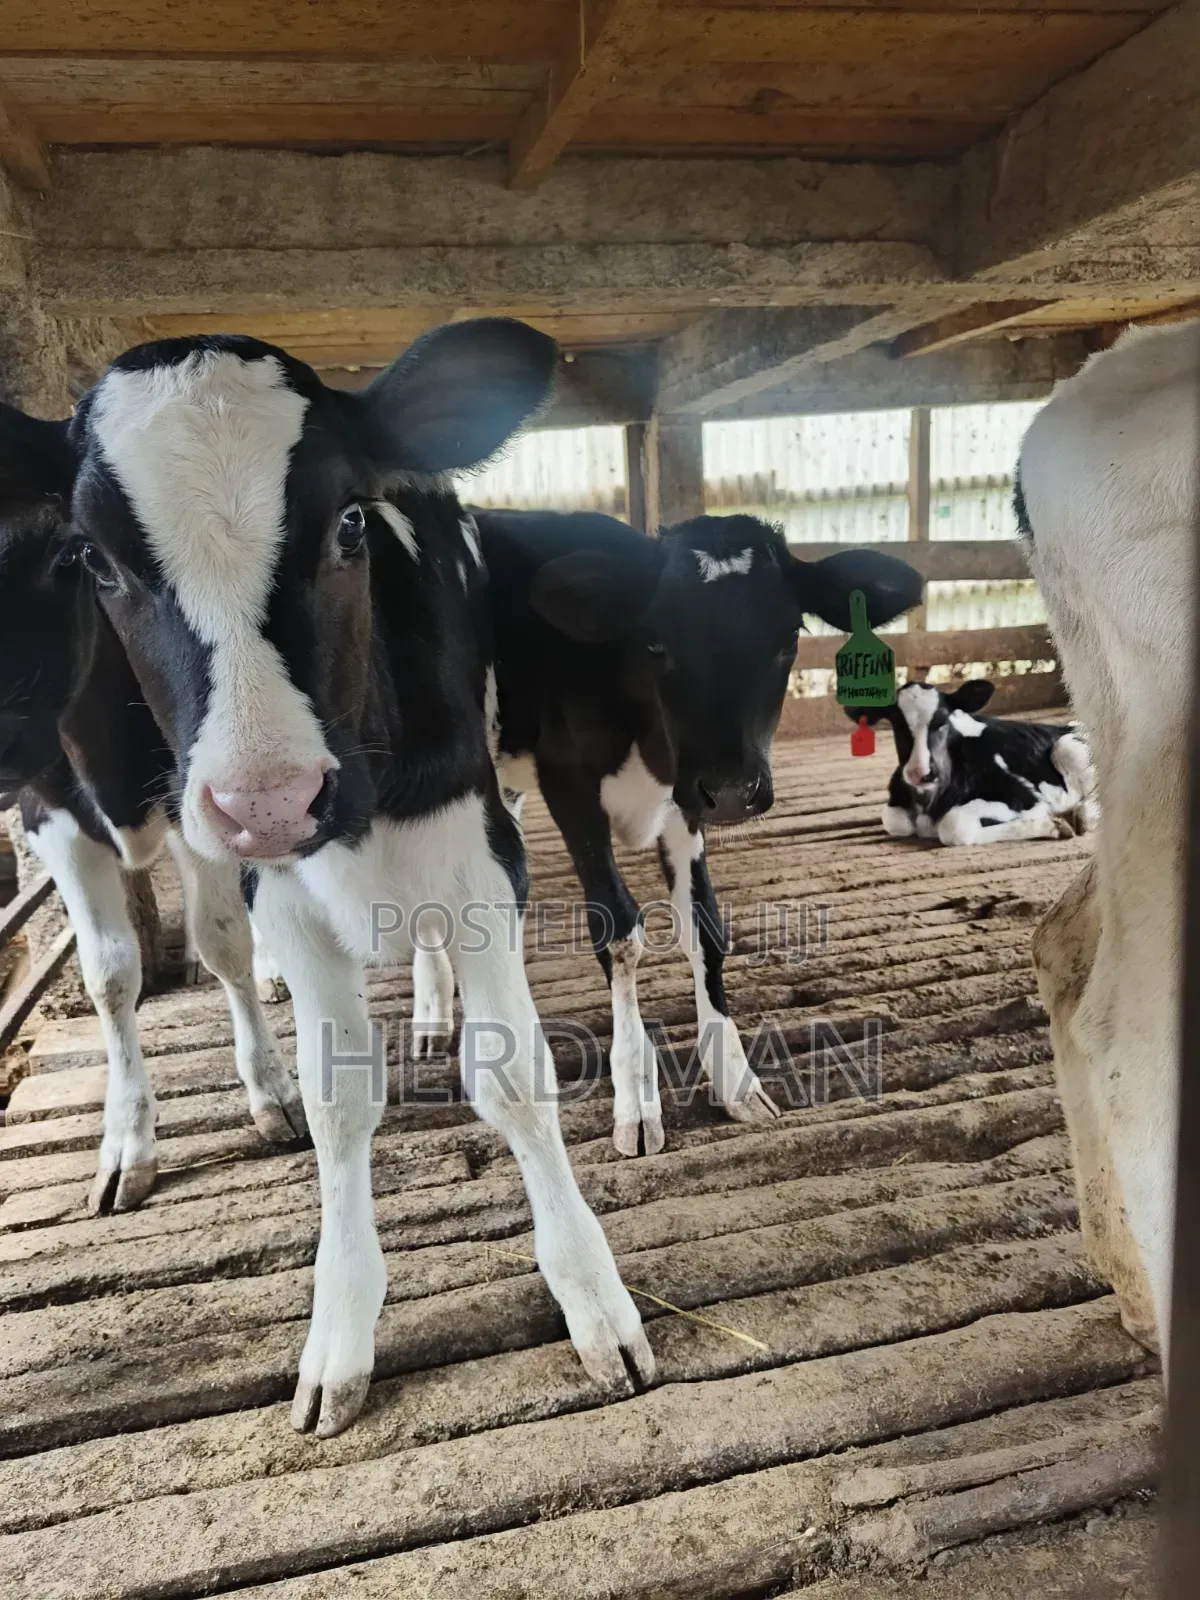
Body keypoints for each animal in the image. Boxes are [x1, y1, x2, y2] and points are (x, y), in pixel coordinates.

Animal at [0, 429, 303, 1214]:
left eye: (66, 556)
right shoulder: (49, 815)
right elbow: (108, 975)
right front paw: (126, 1141)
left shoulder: (192, 796)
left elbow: (222, 940)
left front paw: (272, 1092)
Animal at [406, 509, 920, 1158]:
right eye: (656, 642)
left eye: (788, 638)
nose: (734, 788)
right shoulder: (570, 786)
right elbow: (618, 931)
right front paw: (636, 1092)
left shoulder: (687, 798)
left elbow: (705, 925)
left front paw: (735, 1076)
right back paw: (430, 1009)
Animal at [853, 678, 1097, 847]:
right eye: (896, 723)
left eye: (943, 720)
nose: (920, 773)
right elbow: (894, 820)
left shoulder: (1024, 797)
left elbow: (954, 826)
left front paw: (1052, 825)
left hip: (1066, 747)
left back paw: (1085, 816)